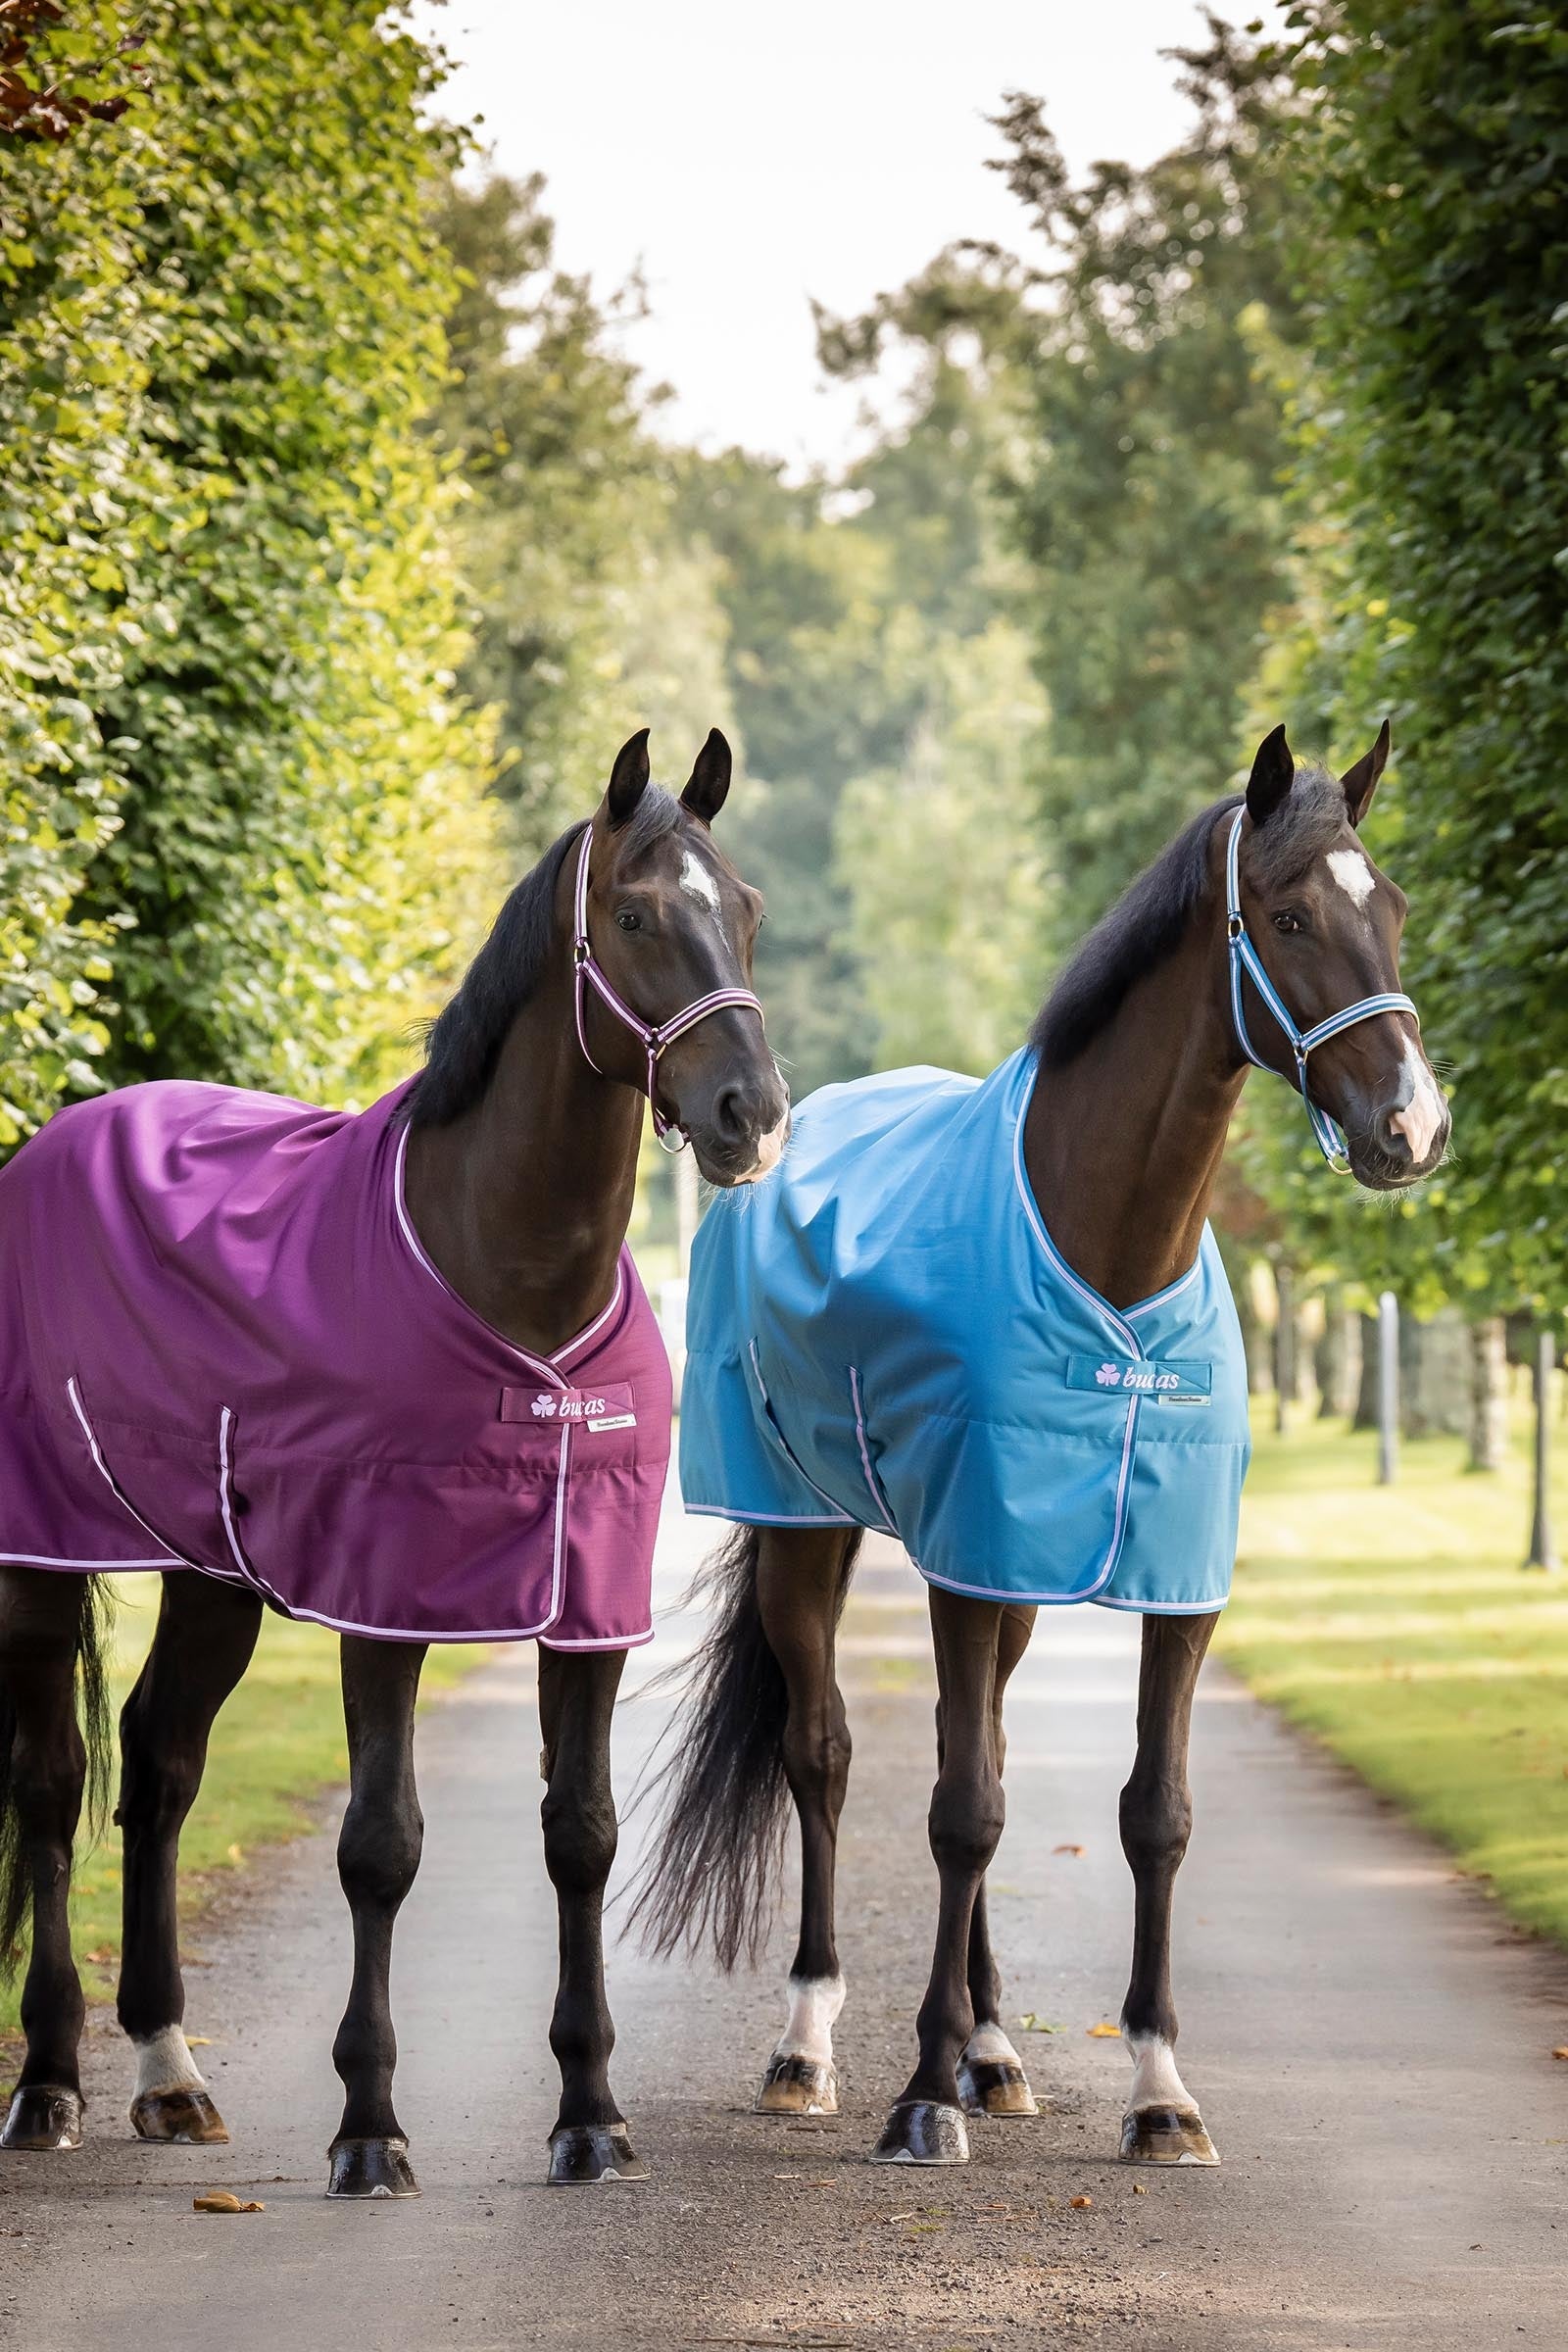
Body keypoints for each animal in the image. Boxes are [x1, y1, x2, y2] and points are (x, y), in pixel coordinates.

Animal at [0, 727, 789, 2198]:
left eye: (750, 913)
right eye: (636, 916)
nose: (750, 1116)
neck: (502, 1271)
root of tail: (52, 1145)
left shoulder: (589, 1613)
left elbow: (582, 1835)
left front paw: (591, 2115)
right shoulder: (386, 1603)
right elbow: (380, 1847)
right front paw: (370, 2127)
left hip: (213, 1576)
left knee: (160, 1764)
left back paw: (170, 2073)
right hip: (40, 1561)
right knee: (52, 1783)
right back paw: (52, 2083)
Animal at [636, 724, 1450, 2171]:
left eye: (1395, 908)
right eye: (1291, 916)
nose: (1411, 1128)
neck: (1105, 1247)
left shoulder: (1170, 1585)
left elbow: (1146, 1815)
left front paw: (1158, 2091)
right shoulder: (965, 1558)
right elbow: (959, 1813)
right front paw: (917, 2095)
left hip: (1005, 1582)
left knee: (991, 1752)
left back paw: (997, 2052)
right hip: (807, 1536)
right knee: (826, 1756)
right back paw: (810, 2046)